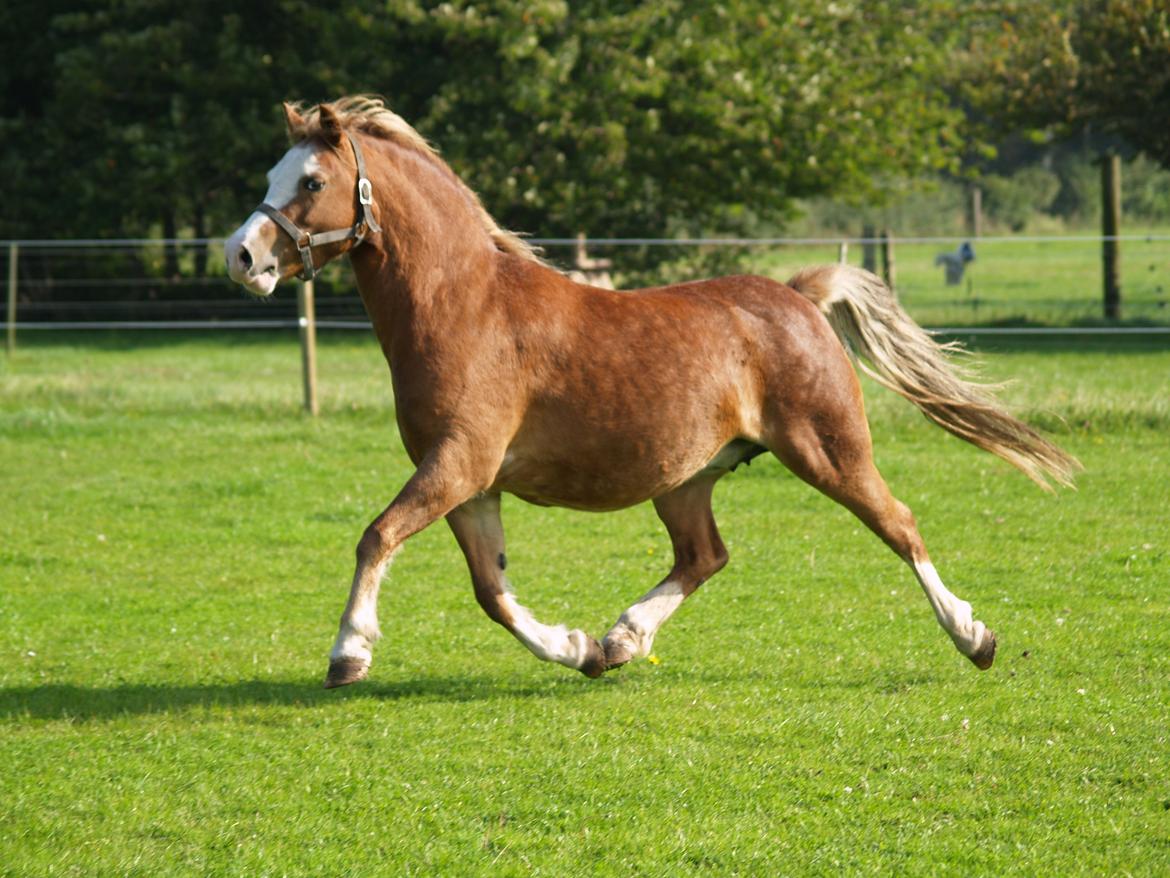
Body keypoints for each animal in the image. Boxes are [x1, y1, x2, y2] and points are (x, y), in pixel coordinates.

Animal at [223, 94, 1071, 688]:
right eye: (269, 177)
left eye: (311, 180)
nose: (241, 256)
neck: (467, 307)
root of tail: (798, 296)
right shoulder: (468, 481)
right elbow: (491, 590)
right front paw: (577, 648)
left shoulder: (457, 464)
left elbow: (377, 537)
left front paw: (348, 653)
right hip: (686, 478)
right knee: (705, 554)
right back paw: (623, 637)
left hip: (828, 451)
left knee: (900, 525)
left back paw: (975, 638)